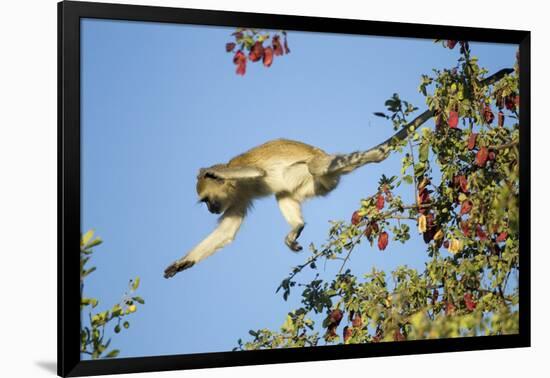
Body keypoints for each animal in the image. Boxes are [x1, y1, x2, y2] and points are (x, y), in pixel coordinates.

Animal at [164, 137, 392, 278]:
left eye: (208, 200)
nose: (211, 209)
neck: (234, 186)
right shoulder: (238, 199)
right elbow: (225, 233)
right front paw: (180, 264)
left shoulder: (239, 176)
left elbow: (256, 172)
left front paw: (213, 172)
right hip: (313, 185)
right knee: (283, 192)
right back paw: (297, 226)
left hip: (317, 168)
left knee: (315, 167)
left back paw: (370, 155)